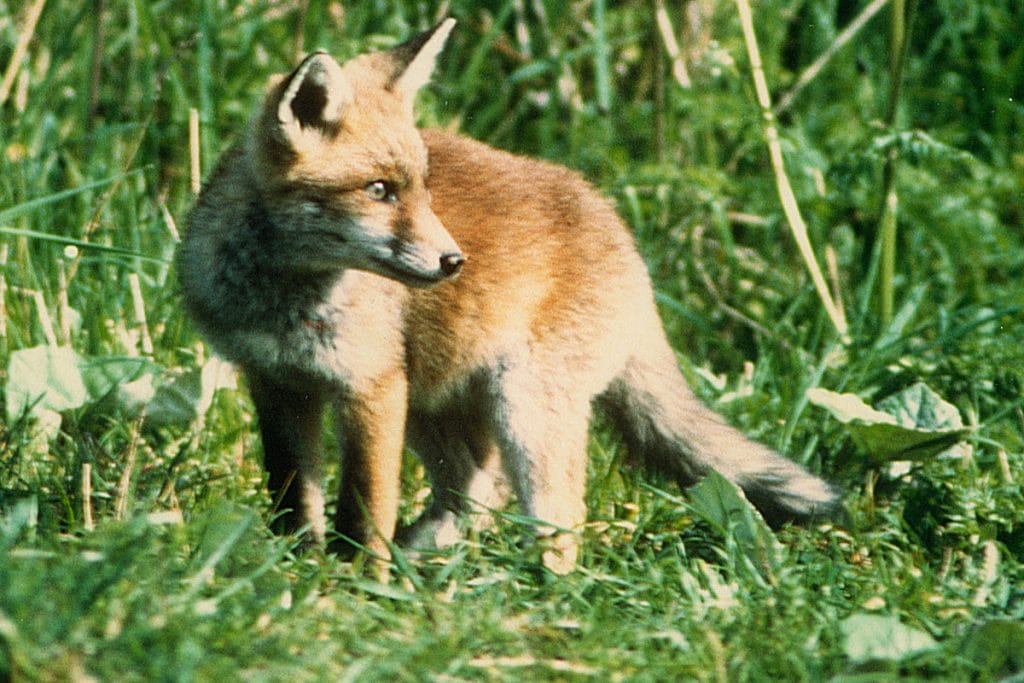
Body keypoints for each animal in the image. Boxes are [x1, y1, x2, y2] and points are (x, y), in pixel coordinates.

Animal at [177, 19, 840, 574]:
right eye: (379, 190)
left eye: (420, 189)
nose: (453, 262)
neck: (283, 300)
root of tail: (616, 226)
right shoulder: (276, 383)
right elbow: (293, 498)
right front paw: (295, 570)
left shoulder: (371, 387)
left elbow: (365, 509)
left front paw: (357, 582)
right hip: (436, 401)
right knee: (475, 492)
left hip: (521, 406)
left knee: (555, 518)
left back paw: (546, 589)